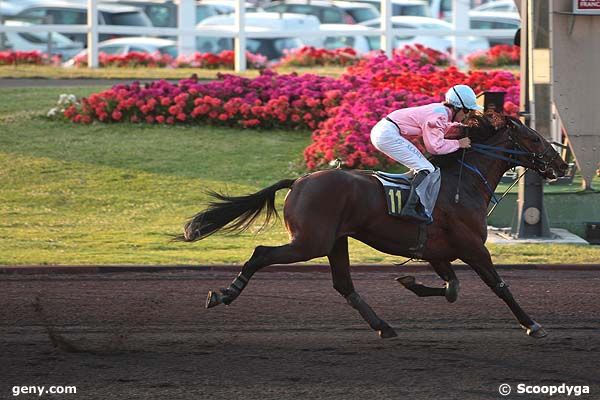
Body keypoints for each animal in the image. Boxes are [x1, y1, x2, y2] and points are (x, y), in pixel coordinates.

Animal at [178, 114, 568, 340]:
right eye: (534, 138)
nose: (562, 165)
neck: (464, 184)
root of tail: (299, 181)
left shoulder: (437, 251)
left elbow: (452, 288)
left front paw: (409, 281)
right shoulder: (473, 248)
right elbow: (499, 286)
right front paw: (532, 324)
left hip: (334, 241)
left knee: (343, 285)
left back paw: (384, 326)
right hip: (311, 242)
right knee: (261, 254)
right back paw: (224, 294)